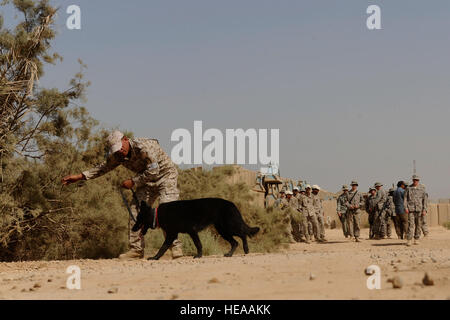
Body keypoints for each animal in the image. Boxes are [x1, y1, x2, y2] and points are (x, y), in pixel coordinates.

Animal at [132, 198, 260, 260]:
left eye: (138, 218)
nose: (133, 229)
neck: (157, 215)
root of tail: (232, 204)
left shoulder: (191, 231)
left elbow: (198, 244)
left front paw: (198, 256)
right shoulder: (172, 235)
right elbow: (163, 248)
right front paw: (155, 257)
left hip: (229, 227)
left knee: (243, 234)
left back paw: (246, 249)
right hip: (222, 230)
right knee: (235, 242)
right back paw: (229, 254)